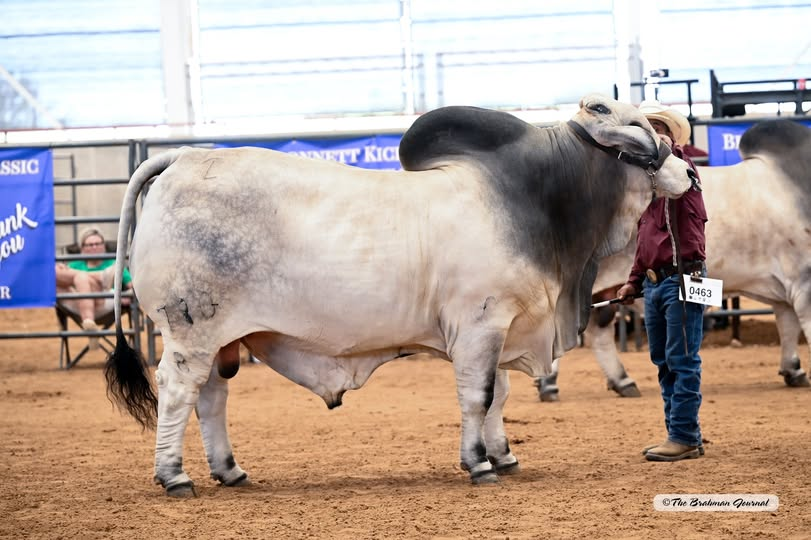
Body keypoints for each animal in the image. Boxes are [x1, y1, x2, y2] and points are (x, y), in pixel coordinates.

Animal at [103, 94, 695, 497]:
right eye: (641, 131)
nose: (689, 171)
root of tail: (182, 157)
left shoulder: (500, 326)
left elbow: (499, 395)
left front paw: (503, 456)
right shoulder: (479, 325)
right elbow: (476, 396)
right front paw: (478, 462)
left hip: (221, 337)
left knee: (211, 398)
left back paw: (229, 470)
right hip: (189, 330)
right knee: (178, 391)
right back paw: (174, 476)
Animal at [536, 119, 811, 402]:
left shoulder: (786, 289)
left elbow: (787, 325)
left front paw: (793, 370)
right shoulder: (804, 281)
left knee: (596, 331)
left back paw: (622, 381)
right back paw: (549, 383)